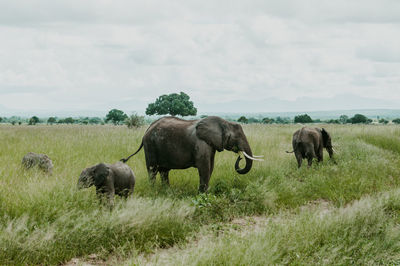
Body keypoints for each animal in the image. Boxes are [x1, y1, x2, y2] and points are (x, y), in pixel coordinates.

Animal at [119, 115, 262, 192]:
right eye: (235, 138)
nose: (240, 156)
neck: (224, 122)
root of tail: (147, 130)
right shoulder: (201, 143)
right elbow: (204, 167)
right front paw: (202, 194)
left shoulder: (210, 145)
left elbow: (210, 166)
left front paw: (206, 192)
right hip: (150, 146)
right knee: (152, 170)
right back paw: (154, 190)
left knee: (164, 171)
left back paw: (167, 191)